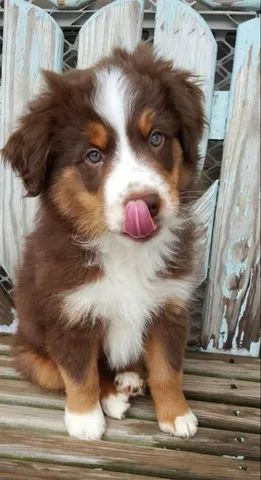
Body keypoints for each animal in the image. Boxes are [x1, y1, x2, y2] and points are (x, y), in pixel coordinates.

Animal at [3, 46, 204, 442]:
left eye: (156, 138)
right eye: (93, 155)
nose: (145, 203)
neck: (125, 252)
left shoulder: (169, 306)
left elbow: (168, 368)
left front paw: (176, 414)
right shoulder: (69, 312)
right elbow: (81, 374)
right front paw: (84, 420)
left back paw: (128, 380)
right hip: (33, 355)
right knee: (68, 372)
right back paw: (112, 395)